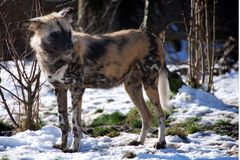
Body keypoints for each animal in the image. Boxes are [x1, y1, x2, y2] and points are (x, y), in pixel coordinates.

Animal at [21, 7, 170, 152]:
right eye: (54, 34)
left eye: (68, 33)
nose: (70, 46)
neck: (54, 59)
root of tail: (153, 36)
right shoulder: (60, 89)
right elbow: (63, 123)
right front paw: (62, 146)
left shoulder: (76, 90)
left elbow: (75, 125)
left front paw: (73, 148)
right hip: (132, 88)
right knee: (147, 116)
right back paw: (139, 142)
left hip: (149, 84)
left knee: (161, 115)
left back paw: (160, 143)